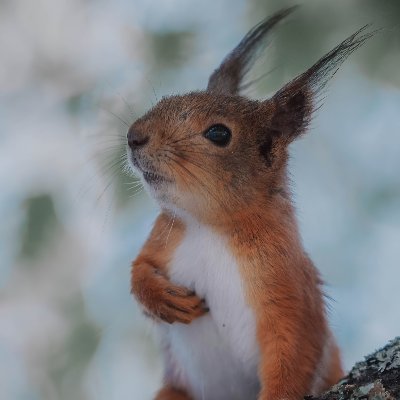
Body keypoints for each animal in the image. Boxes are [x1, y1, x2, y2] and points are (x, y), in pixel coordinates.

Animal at [126, 6, 376, 400]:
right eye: (166, 99)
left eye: (218, 133)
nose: (134, 136)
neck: (209, 226)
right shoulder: (164, 235)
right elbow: (139, 268)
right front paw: (160, 297)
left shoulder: (287, 283)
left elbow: (294, 352)